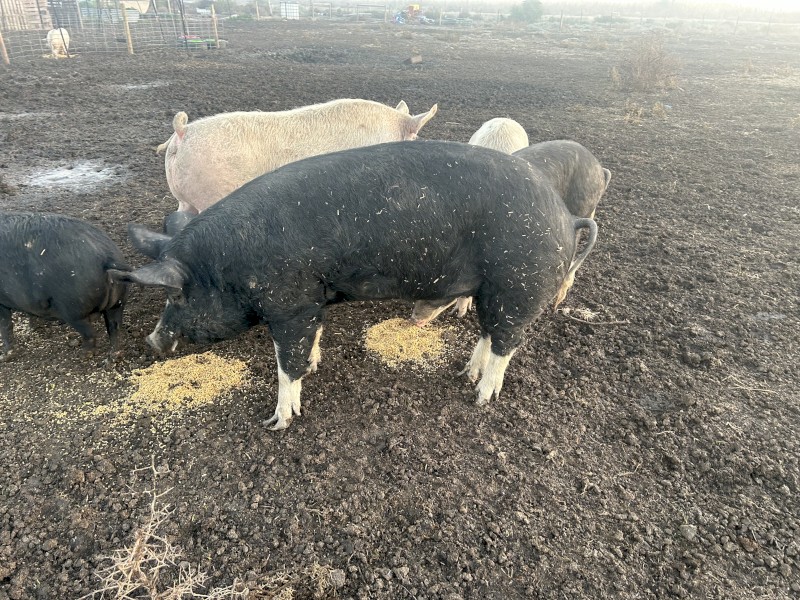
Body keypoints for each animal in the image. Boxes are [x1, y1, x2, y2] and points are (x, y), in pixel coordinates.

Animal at [0, 212, 130, 361]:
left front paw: (5, 356)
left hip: (73, 309)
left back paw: (83, 355)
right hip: (118, 302)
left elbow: (5, 325)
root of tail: (106, 257)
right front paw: (34, 328)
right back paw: (112, 358)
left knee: (91, 334)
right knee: (115, 328)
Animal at [116, 140, 597, 431]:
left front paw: (278, 421)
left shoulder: (289, 303)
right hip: (493, 289)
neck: (228, 265)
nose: (152, 340)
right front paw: (315, 365)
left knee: (507, 342)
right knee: (488, 333)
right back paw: (466, 373)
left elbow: (286, 362)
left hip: (519, 283)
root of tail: (565, 215)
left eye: (174, 293)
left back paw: (480, 397)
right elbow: (313, 338)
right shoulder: (312, 299)